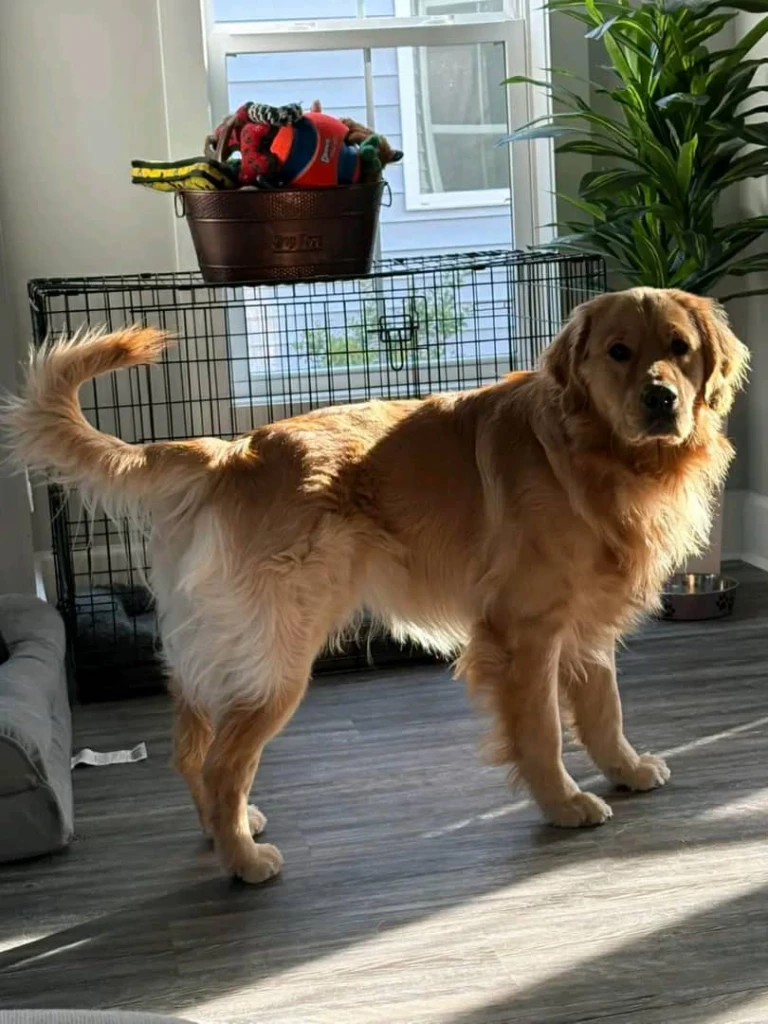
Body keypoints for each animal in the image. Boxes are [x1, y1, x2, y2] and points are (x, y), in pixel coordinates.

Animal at [4, 287, 748, 884]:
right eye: (619, 352)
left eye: (680, 350)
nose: (662, 399)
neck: (594, 452)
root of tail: (231, 453)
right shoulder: (527, 631)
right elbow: (541, 731)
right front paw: (563, 804)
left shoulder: (586, 625)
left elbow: (603, 711)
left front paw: (626, 768)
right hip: (280, 654)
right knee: (220, 763)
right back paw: (243, 861)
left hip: (216, 651)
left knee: (191, 750)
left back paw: (227, 830)